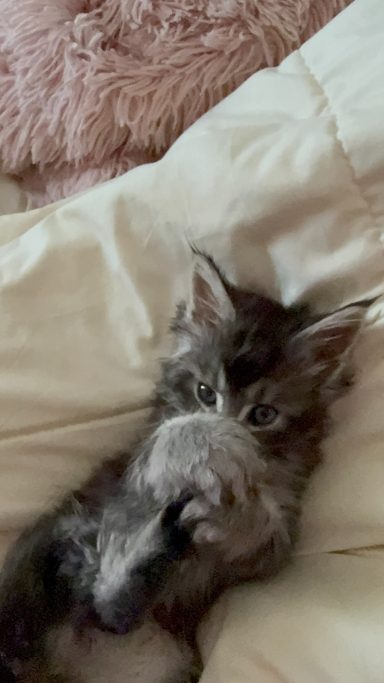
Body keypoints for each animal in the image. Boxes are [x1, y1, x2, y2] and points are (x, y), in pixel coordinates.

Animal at [0, 254, 368, 680]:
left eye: (263, 414)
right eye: (205, 393)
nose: (228, 429)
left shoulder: (270, 548)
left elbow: (261, 528)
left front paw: (236, 504)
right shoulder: (129, 486)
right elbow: (173, 433)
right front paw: (211, 443)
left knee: (114, 613)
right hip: (63, 539)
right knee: (104, 591)